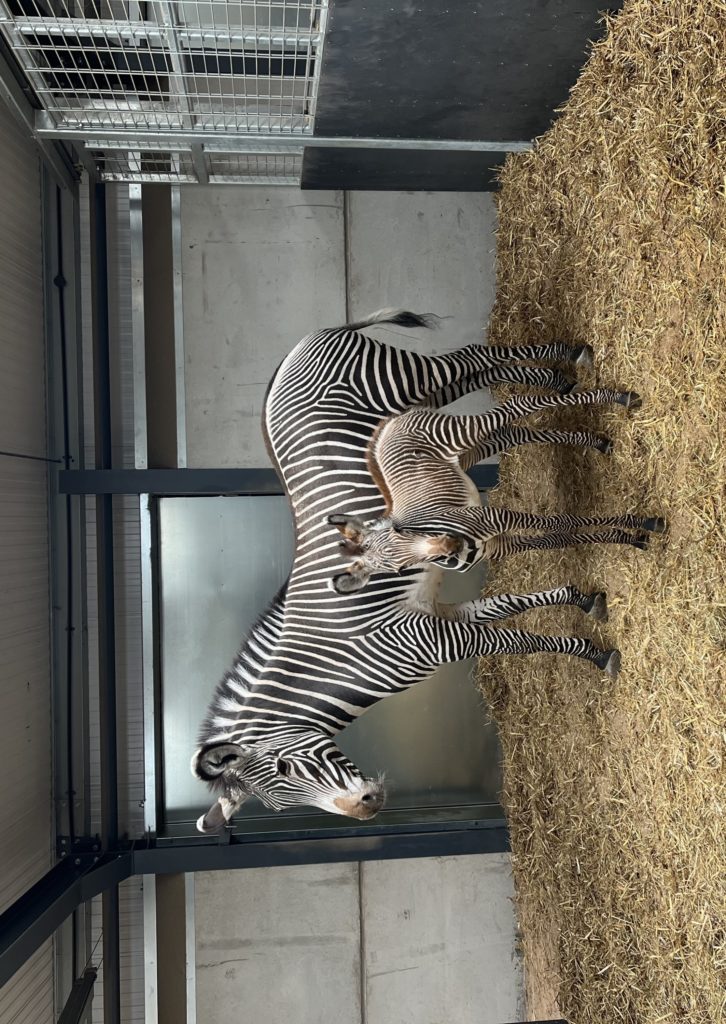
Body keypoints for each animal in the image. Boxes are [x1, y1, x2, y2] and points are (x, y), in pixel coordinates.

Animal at [191, 311, 631, 831]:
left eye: (285, 768)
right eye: (282, 807)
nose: (369, 806)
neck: (340, 659)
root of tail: (292, 353)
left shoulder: (431, 639)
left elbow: (517, 640)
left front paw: (595, 652)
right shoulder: (440, 615)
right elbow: (509, 610)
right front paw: (584, 604)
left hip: (404, 378)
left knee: (472, 358)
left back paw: (570, 362)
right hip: (421, 402)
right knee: (483, 380)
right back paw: (561, 379)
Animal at [327, 399, 665, 593]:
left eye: (401, 531)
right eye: (400, 571)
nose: (451, 544)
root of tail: (387, 424)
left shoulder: (496, 516)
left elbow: (561, 523)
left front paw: (642, 524)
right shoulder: (499, 545)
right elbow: (557, 538)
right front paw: (629, 537)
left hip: (458, 434)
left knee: (514, 407)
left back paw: (612, 395)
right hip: (467, 453)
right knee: (514, 433)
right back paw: (596, 442)